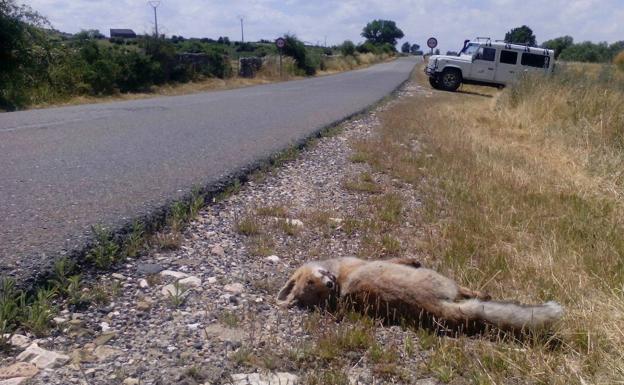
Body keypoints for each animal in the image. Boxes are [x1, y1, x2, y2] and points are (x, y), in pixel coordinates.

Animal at [276, 255, 564, 330]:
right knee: (467, 293)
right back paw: (482, 294)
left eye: (313, 282)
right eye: (314, 289)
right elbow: (401, 258)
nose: (330, 285)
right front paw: (412, 260)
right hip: (446, 281)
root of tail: (436, 307)